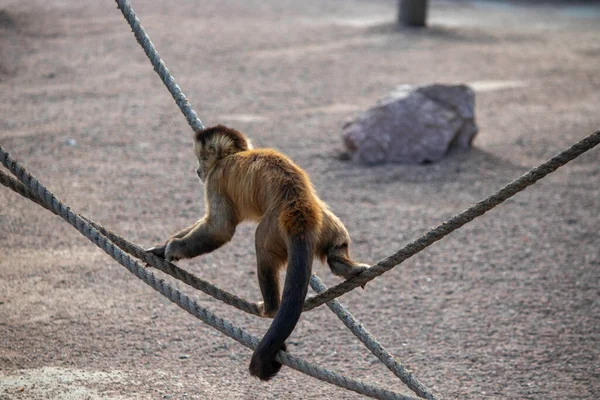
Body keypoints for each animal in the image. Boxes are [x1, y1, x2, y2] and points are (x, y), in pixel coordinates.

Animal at [148, 125, 368, 382]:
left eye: (201, 157)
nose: (198, 170)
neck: (234, 154)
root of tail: (298, 213)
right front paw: (161, 249)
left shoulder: (216, 178)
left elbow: (219, 228)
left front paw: (173, 248)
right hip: (322, 220)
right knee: (334, 237)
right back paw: (343, 264)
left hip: (273, 229)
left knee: (261, 248)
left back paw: (270, 307)